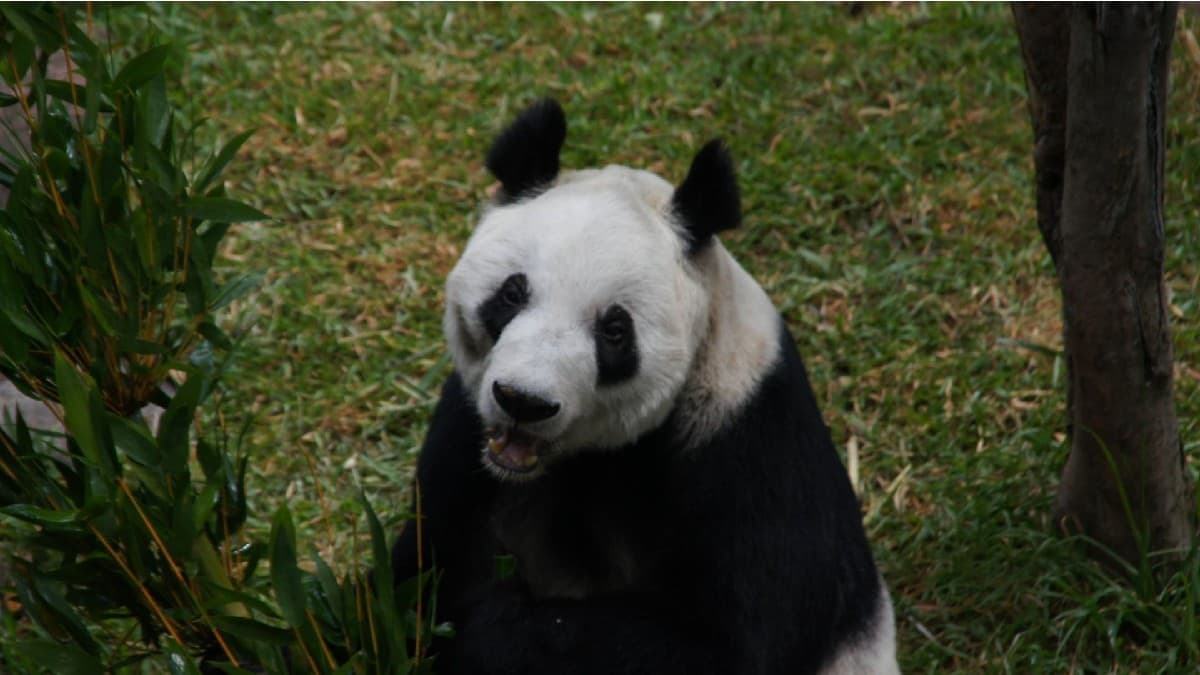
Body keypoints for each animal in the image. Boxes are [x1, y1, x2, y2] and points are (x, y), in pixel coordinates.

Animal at [391, 99, 898, 675]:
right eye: (512, 293)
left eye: (614, 330)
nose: (524, 401)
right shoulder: (468, 429)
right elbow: (420, 567)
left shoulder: (749, 453)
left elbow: (725, 646)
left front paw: (489, 621)